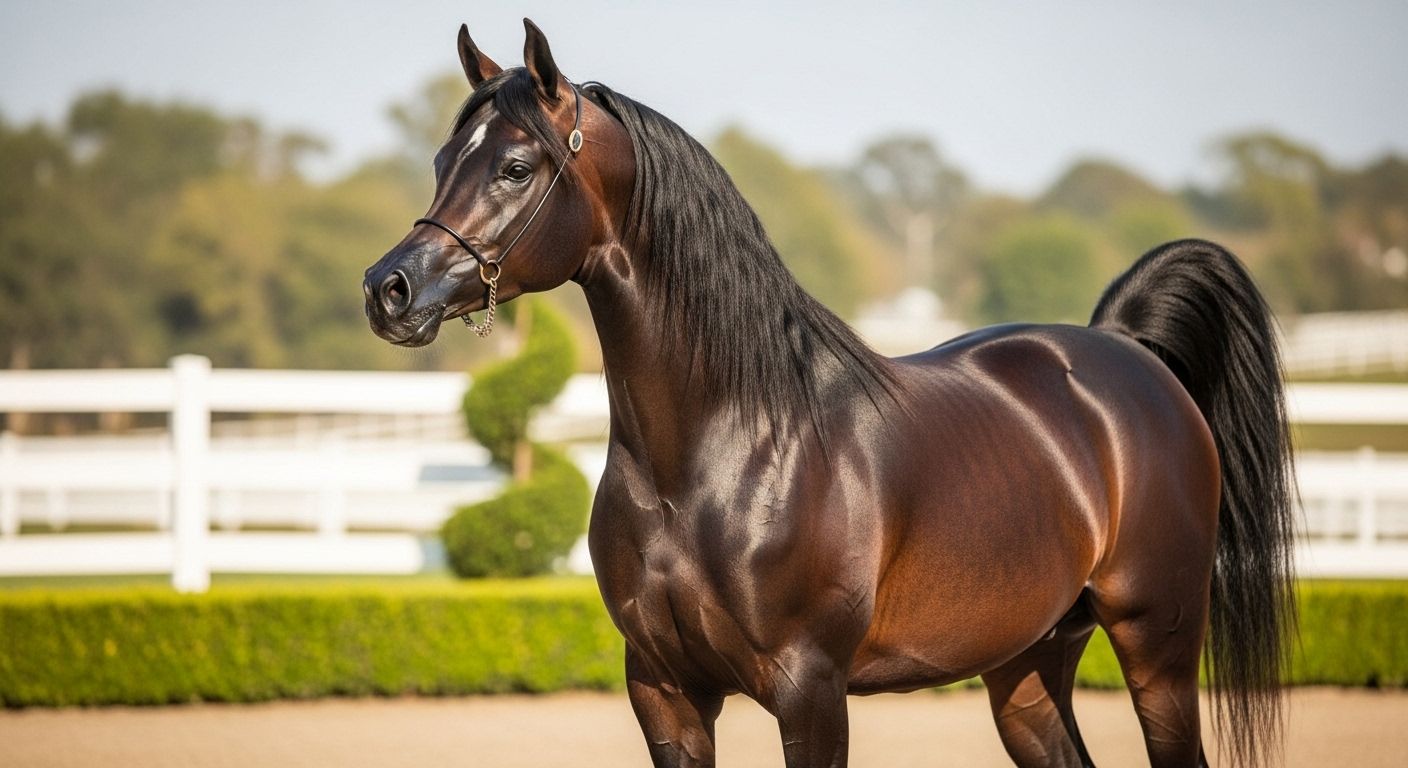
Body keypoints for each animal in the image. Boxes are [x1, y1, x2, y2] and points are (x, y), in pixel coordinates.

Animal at [363, 19, 1296, 768]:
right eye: (443, 160)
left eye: (517, 166)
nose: (389, 290)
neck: (723, 452)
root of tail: (1124, 350)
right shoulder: (664, 693)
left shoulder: (809, 692)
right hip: (1027, 668)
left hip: (1157, 646)